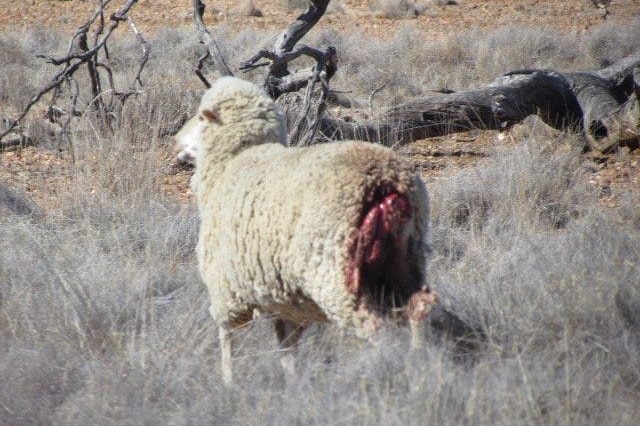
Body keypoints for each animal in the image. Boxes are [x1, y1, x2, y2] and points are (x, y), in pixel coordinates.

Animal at [178, 76, 438, 386]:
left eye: (200, 117)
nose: (177, 140)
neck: (234, 160)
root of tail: (387, 181)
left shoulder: (226, 288)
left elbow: (227, 338)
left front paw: (228, 382)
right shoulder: (286, 299)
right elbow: (287, 346)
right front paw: (292, 383)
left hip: (333, 271)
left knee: (373, 328)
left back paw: (376, 374)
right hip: (406, 258)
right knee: (419, 308)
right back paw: (417, 367)